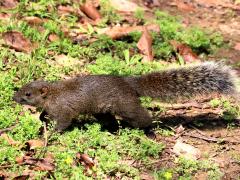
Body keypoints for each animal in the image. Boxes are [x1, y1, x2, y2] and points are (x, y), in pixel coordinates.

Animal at [13, 62, 238, 134]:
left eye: (28, 94)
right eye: (22, 88)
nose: (14, 98)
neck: (53, 94)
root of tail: (130, 84)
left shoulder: (64, 110)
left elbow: (63, 122)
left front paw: (52, 133)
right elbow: (44, 115)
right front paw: (41, 120)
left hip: (127, 107)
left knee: (143, 118)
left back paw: (150, 131)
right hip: (104, 112)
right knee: (112, 122)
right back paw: (111, 131)